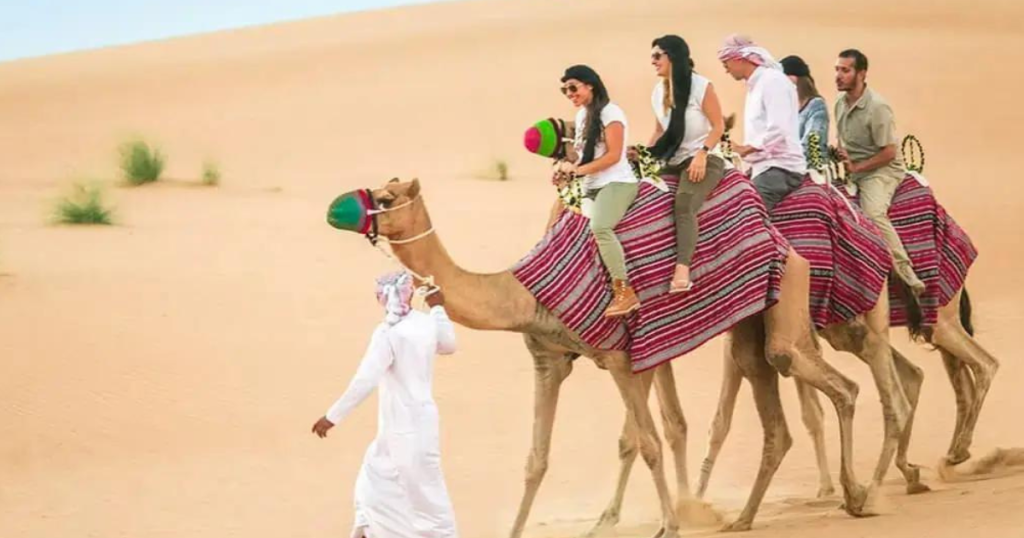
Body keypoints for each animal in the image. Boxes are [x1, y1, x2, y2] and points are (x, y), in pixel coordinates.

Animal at [329, 178, 874, 535]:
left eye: (385, 198)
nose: (339, 210)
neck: (522, 293)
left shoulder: (618, 357)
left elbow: (647, 442)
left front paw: (669, 525)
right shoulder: (549, 361)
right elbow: (536, 459)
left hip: (788, 292)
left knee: (830, 380)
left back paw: (857, 495)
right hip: (748, 321)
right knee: (772, 391)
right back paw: (748, 517)